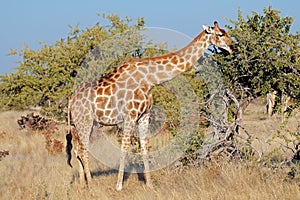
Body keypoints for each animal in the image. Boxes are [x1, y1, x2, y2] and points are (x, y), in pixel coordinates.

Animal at [66, 21, 234, 190]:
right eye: (220, 34)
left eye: (226, 32)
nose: (232, 46)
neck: (150, 80)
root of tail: (71, 101)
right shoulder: (130, 115)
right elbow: (124, 148)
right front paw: (119, 186)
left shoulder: (144, 115)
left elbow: (144, 148)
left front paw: (150, 184)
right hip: (85, 122)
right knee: (83, 150)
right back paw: (91, 185)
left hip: (85, 124)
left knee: (78, 150)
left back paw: (82, 184)